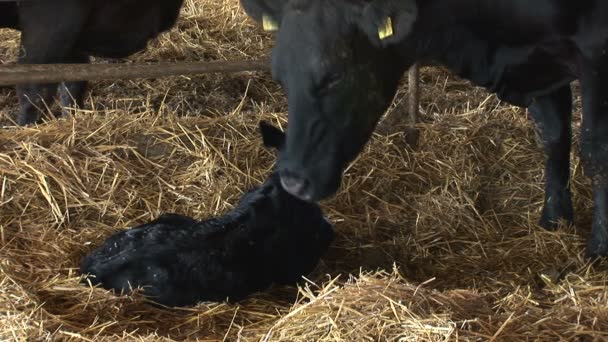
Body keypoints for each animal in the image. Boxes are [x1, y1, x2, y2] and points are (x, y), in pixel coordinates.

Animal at [239, 0, 608, 256]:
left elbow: (596, 151)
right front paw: (554, 221)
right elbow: (554, 138)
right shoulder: (540, 66)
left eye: (334, 76)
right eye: (280, 76)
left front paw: (600, 248)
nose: (292, 180)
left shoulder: (595, 53)